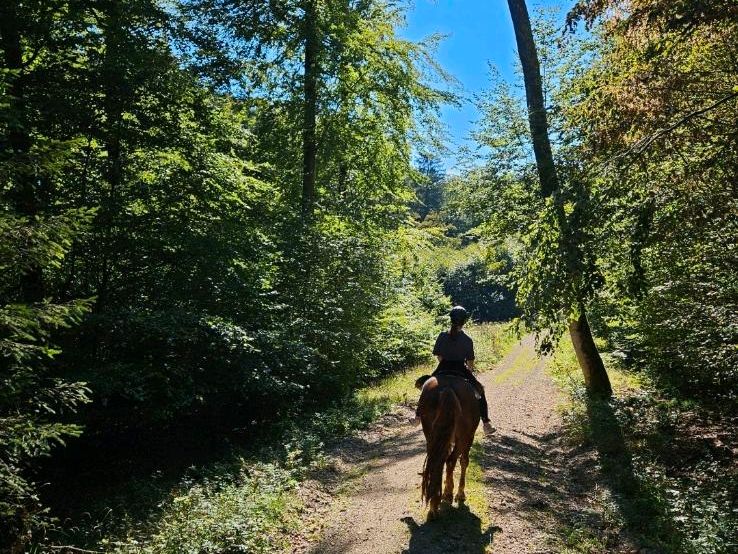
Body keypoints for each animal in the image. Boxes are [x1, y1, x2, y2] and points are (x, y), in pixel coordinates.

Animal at [416, 370, 480, 516]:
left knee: (438, 460)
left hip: (431, 433)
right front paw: (459, 493)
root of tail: (447, 388)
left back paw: (434, 504)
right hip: (464, 437)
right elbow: (463, 461)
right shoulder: (469, 437)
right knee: (451, 460)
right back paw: (449, 495)